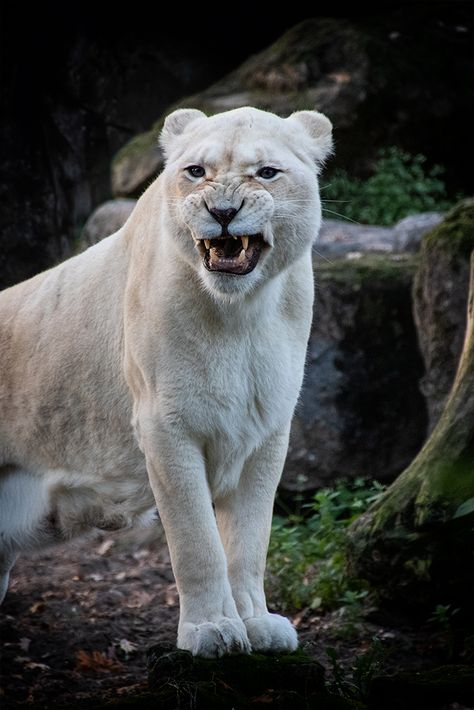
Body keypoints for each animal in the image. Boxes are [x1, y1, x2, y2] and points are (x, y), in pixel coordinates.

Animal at [0, 107, 334, 660]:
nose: (223, 211)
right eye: (196, 172)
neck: (239, 315)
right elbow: (197, 541)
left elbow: (249, 541)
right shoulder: (164, 425)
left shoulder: (266, 432)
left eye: (266, 172)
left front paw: (256, 624)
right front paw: (212, 630)